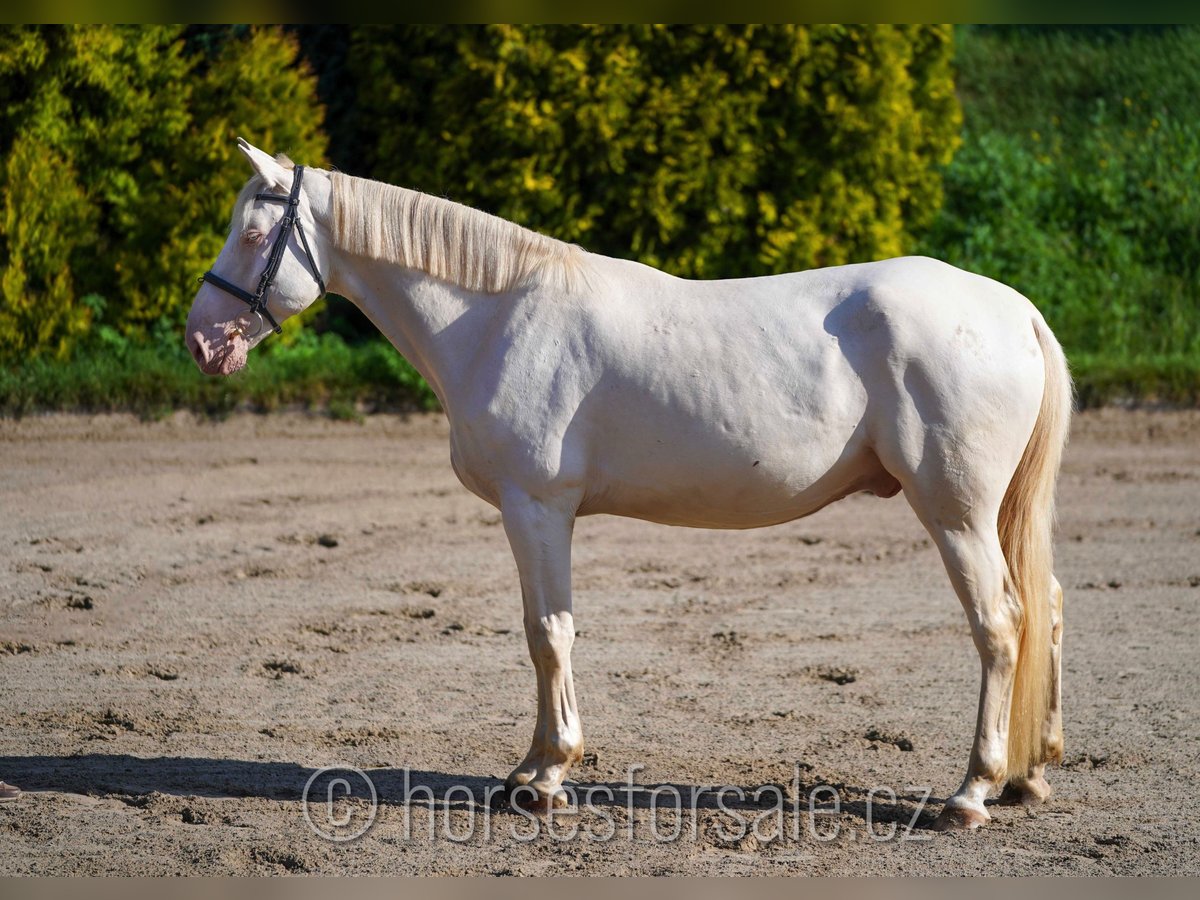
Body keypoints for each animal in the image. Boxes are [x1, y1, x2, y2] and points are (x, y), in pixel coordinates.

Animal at [189, 141, 1080, 830]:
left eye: (254, 232)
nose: (201, 340)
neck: (498, 314)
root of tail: (1017, 311)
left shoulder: (538, 507)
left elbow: (549, 634)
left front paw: (549, 776)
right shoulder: (535, 514)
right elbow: (540, 631)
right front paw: (526, 770)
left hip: (956, 513)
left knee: (1000, 626)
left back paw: (971, 793)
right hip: (995, 514)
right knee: (1047, 607)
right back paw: (1031, 774)